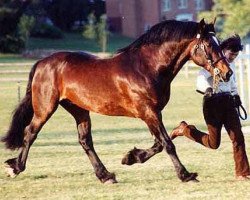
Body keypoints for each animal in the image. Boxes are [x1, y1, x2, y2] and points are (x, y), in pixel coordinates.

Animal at [1, 19, 232, 184]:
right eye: (209, 44)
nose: (227, 72)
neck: (146, 67)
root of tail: (41, 63)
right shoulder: (148, 112)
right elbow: (167, 144)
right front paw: (186, 175)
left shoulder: (153, 113)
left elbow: (160, 143)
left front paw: (131, 157)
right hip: (45, 108)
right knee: (30, 133)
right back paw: (15, 167)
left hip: (79, 110)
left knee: (85, 141)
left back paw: (106, 176)